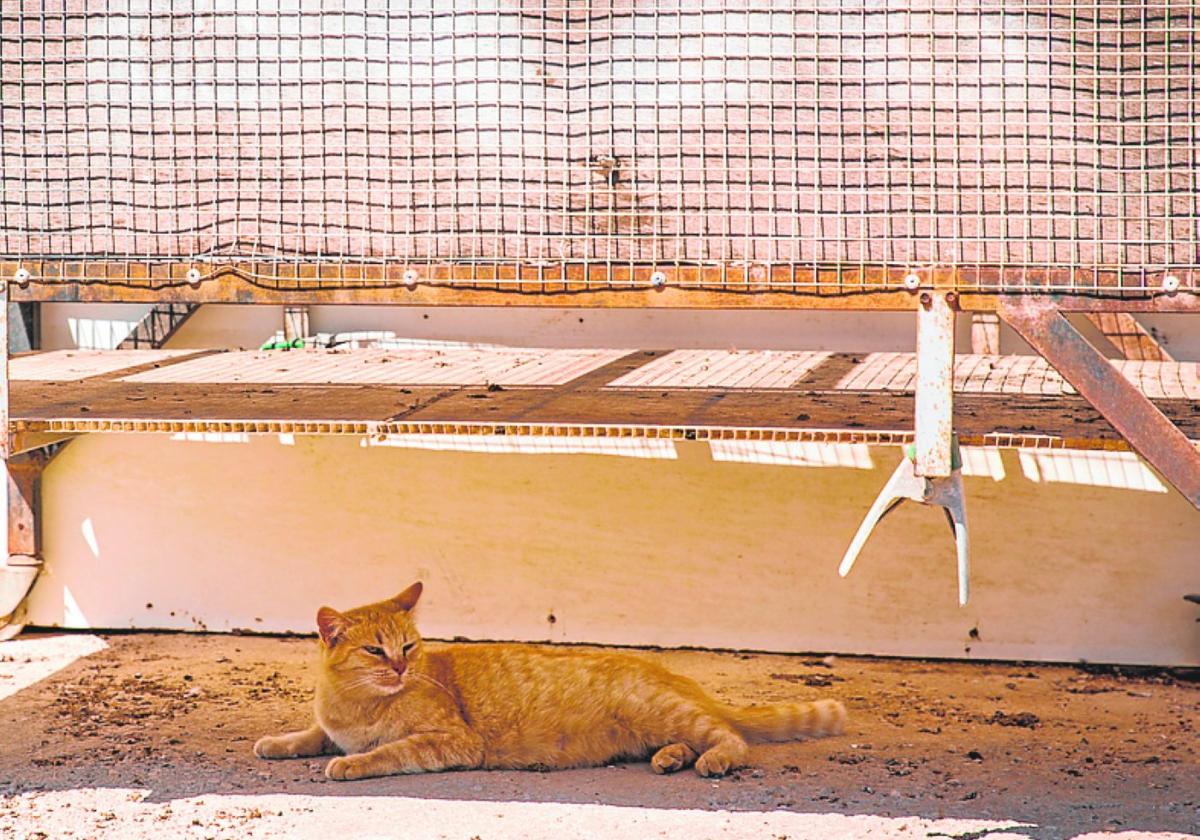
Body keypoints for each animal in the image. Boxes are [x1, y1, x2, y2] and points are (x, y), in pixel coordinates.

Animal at [256, 583, 849, 782]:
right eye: (375, 650)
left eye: (409, 647)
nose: (402, 668)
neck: (356, 704)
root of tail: (673, 673)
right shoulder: (330, 723)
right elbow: (312, 734)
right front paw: (279, 742)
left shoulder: (454, 742)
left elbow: (386, 752)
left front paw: (351, 762)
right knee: (690, 740)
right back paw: (669, 758)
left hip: (667, 713)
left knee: (733, 739)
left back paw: (713, 760)